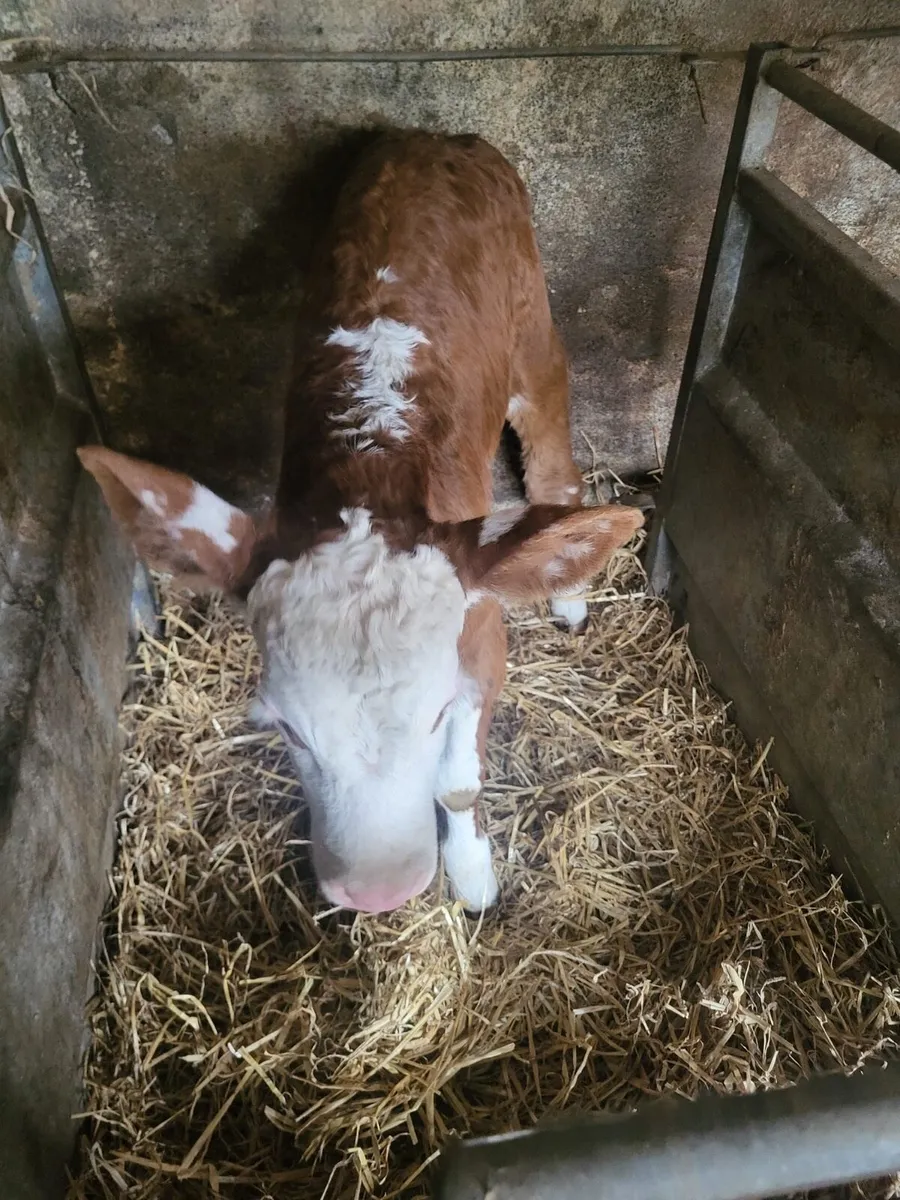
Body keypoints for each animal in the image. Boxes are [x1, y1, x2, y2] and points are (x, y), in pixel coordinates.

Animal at [78, 130, 644, 916]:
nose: (378, 892)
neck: (369, 476)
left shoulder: (479, 629)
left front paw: (473, 878)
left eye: (437, 713)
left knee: (550, 443)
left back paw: (568, 594)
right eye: (290, 728)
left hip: (533, 318)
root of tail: (436, 140)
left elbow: (457, 780)